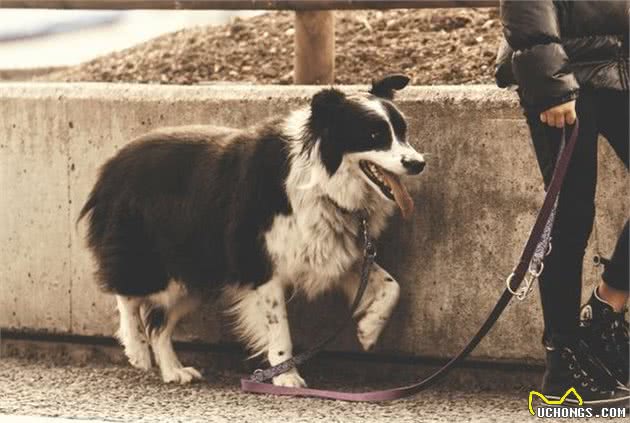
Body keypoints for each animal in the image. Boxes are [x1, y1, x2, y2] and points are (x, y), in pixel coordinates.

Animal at [79, 76, 424, 388]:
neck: (321, 180)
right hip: (153, 256)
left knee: (159, 324)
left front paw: (368, 331)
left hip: (196, 271)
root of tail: (110, 167)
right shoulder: (262, 263)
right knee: (126, 293)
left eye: (403, 132)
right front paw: (286, 377)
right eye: (374, 135)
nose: (418, 163)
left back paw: (173, 370)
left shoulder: (333, 251)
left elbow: (392, 286)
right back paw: (137, 350)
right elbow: (279, 327)